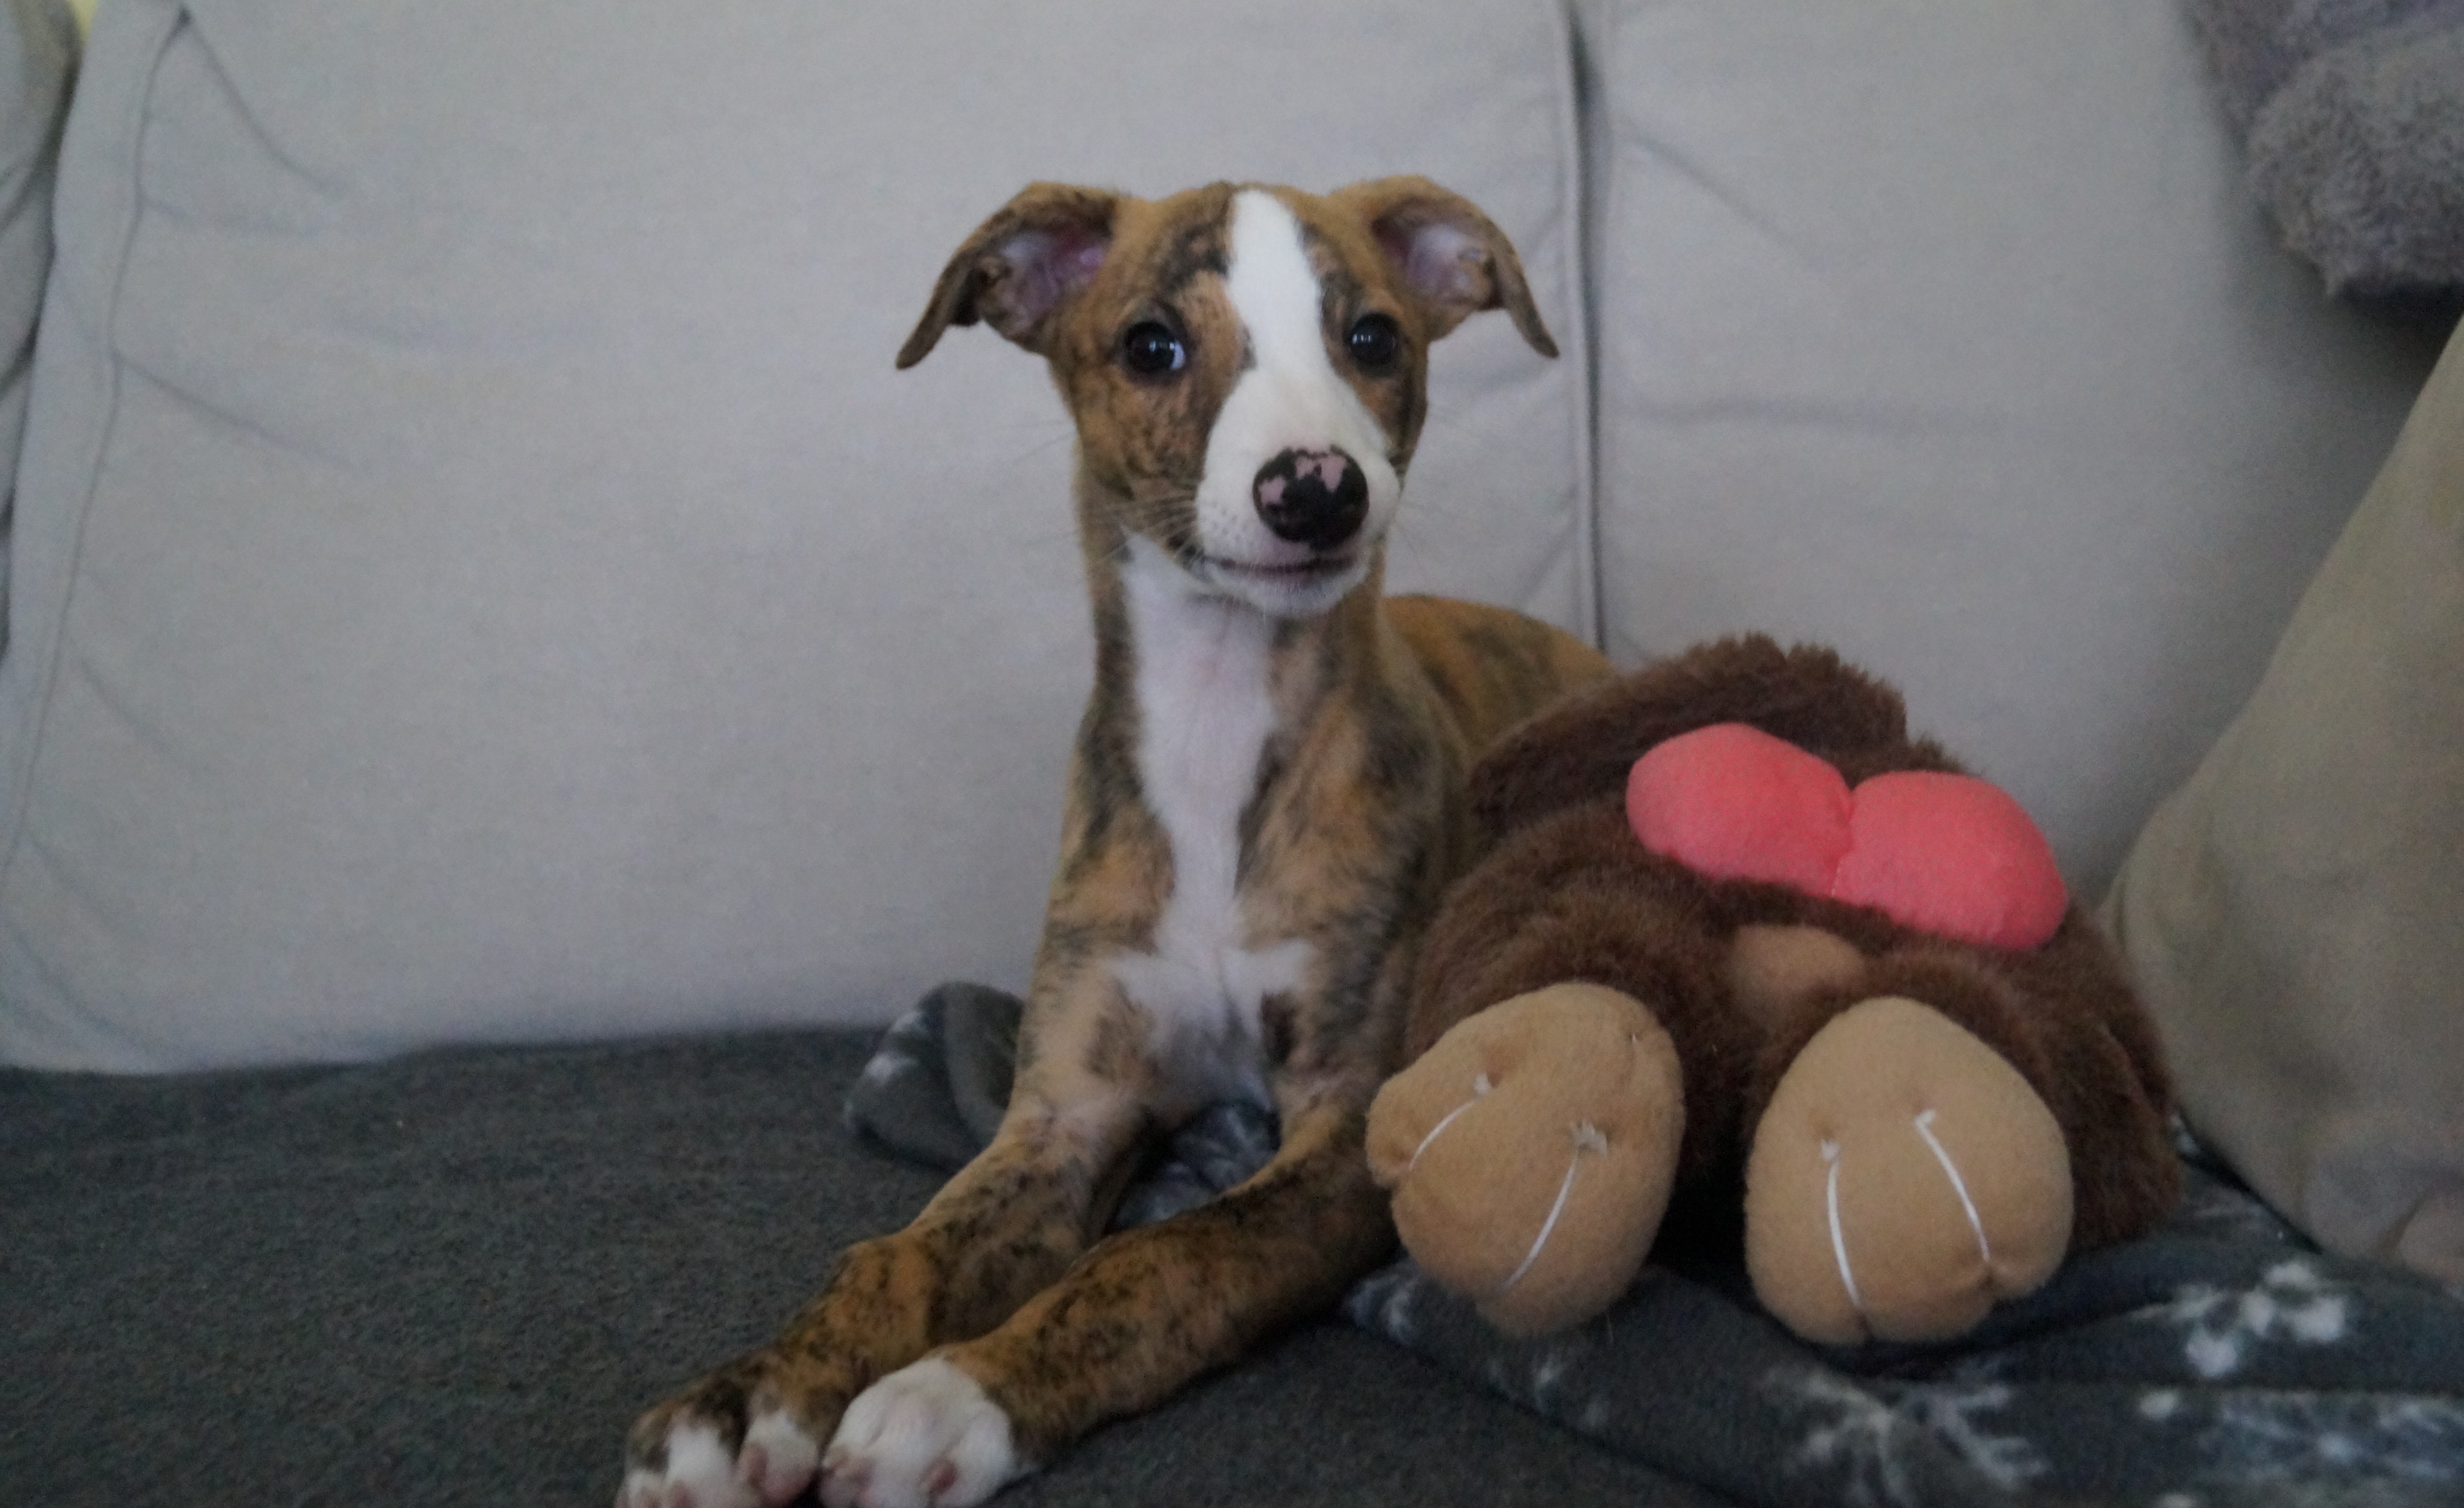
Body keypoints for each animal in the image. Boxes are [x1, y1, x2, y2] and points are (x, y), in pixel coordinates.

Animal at [620, 176, 1609, 1508]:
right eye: (1151, 346)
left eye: (1370, 338)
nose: (1315, 490)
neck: (1215, 730)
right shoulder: (1064, 1112)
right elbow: (895, 1256)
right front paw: (745, 1399)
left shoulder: (1349, 1124)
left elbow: (1170, 1257)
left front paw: (955, 1394)